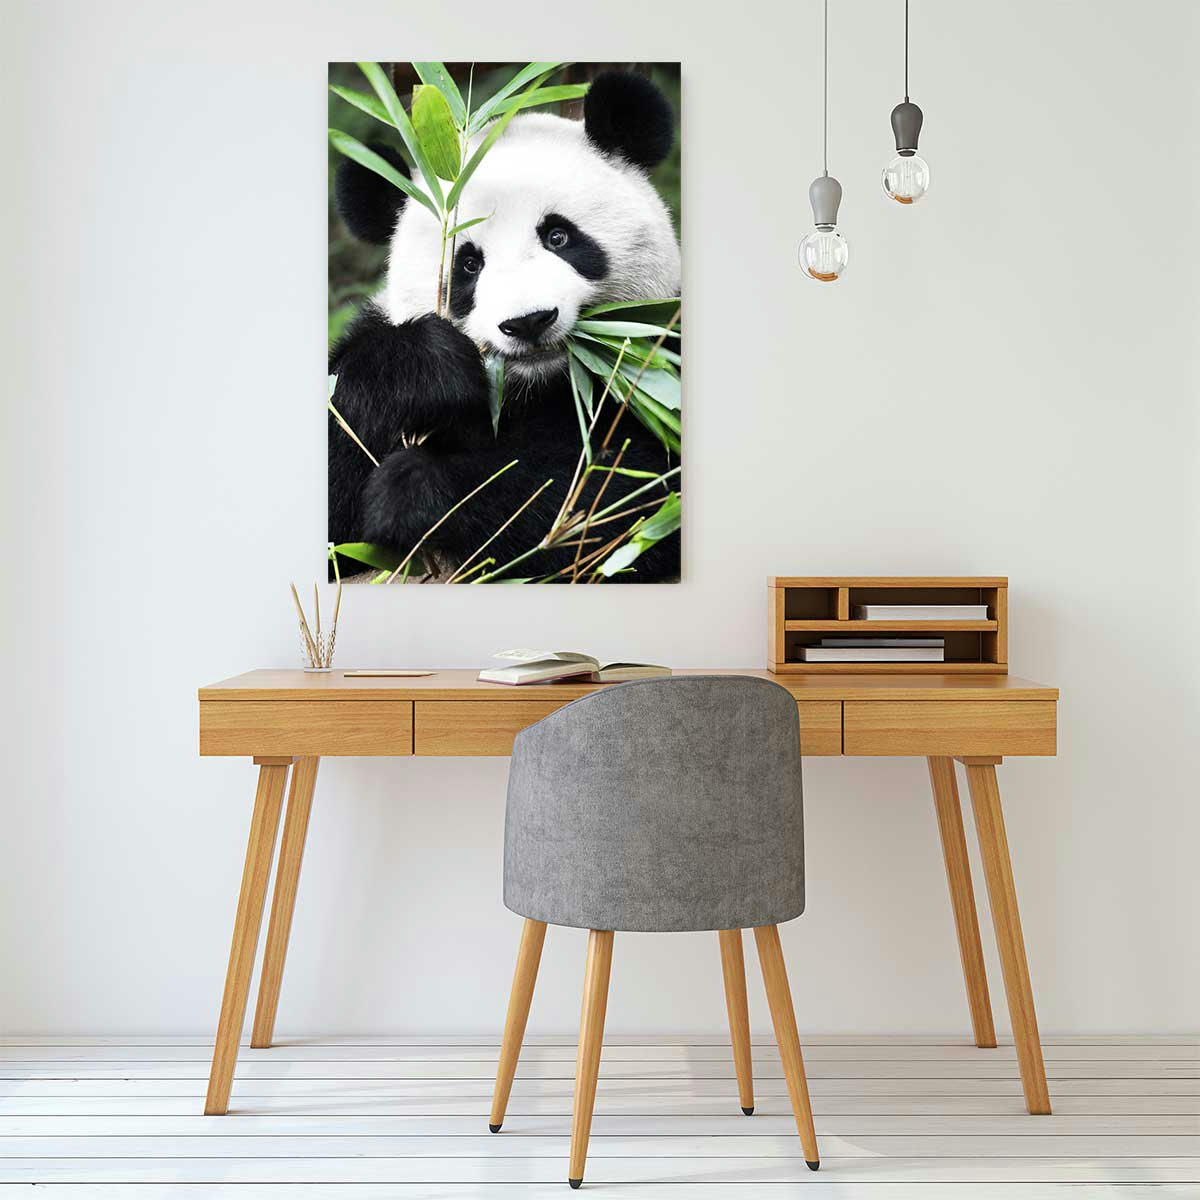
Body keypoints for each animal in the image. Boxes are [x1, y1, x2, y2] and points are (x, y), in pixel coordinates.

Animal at [329, 70, 681, 582]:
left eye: (559, 236)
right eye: (468, 264)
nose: (528, 321)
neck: (535, 388)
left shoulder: (659, 362)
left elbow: (623, 493)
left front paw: (415, 490)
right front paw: (425, 369)